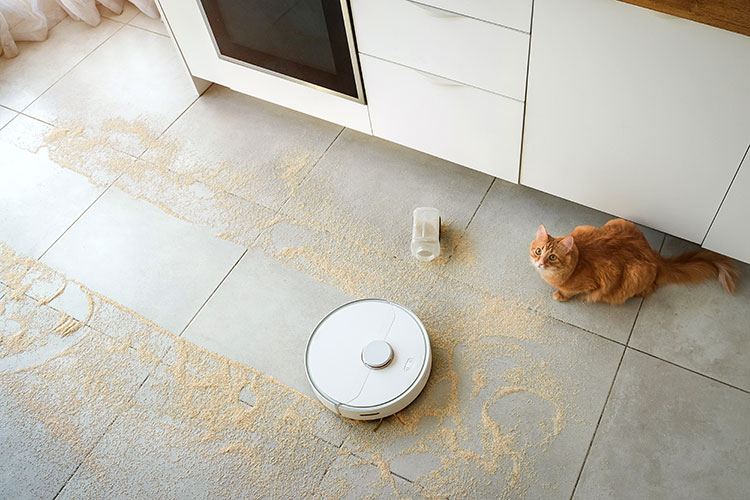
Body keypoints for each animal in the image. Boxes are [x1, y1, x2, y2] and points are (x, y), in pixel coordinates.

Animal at [528, 219, 740, 304]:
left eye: (552, 257)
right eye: (538, 251)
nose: (540, 263)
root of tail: (654, 256)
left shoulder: (592, 284)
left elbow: (572, 292)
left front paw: (561, 295)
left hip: (635, 275)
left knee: (649, 289)